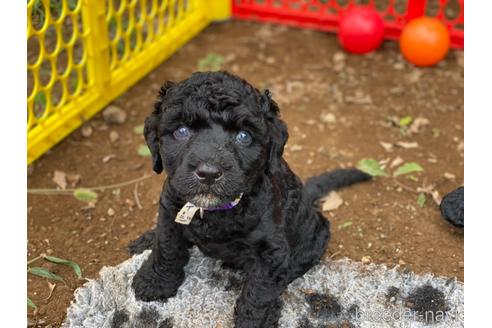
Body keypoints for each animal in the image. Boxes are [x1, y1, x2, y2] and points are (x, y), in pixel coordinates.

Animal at [131, 70, 368, 326]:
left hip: (316, 235)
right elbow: (166, 247)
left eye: (244, 136)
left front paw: (255, 321)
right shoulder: (169, 212)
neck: (215, 211)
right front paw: (155, 282)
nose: (209, 173)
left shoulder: (271, 253)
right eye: (182, 131)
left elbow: (259, 293)